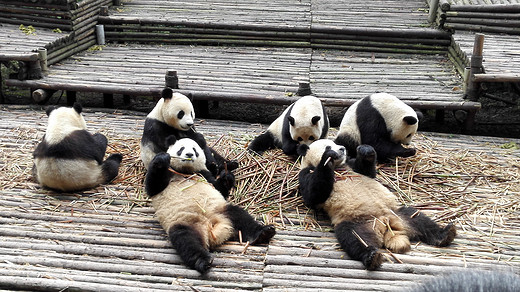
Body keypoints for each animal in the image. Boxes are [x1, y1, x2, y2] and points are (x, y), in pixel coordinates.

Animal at [145, 137, 276, 274]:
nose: (189, 155)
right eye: (181, 149)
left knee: (240, 216)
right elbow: (153, 186)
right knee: (186, 240)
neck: (185, 171)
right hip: (184, 222)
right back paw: (203, 261)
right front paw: (162, 158)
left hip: (221, 210)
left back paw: (264, 232)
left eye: (195, 150)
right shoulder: (168, 175)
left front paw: (227, 177)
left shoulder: (204, 174)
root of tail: (211, 228)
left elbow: (219, 188)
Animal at [296, 139, 456, 270]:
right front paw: (328, 157)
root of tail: (385, 223)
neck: (338, 168)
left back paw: (445, 234)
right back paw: (372, 256)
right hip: (358, 223)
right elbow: (313, 193)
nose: (342, 148)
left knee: (419, 219)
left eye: (337, 143)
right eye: (328, 145)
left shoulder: (351, 166)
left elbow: (368, 171)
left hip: (397, 213)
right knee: (353, 238)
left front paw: (365, 150)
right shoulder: (306, 174)